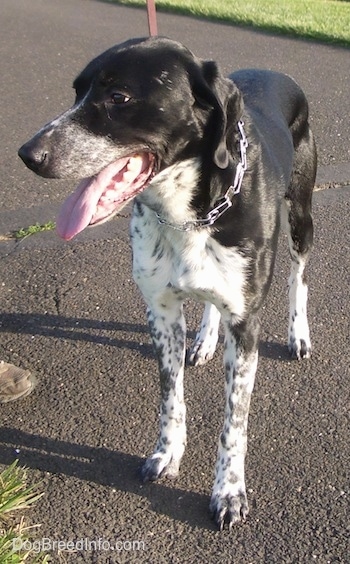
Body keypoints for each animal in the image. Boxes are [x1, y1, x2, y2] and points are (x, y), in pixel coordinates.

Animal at [17, 37, 316, 532]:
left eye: (118, 96)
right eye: (77, 91)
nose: (28, 154)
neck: (186, 213)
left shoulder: (246, 324)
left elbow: (234, 423)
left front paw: (229, 491)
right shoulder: (160, 310)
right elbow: (170, 395)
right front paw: (167, 453)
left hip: (300, 219)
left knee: (299, 277)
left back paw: (299, 334)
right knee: (212, 302)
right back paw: (206, 339)